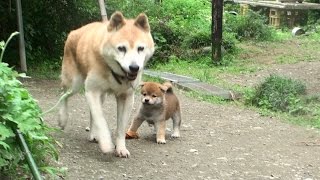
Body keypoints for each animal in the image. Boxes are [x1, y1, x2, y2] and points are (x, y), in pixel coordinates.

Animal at [58, 11, 154, 158]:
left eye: (140, 48)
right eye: (121, 48)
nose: (134, 67)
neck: (113, 71)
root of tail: (74, 31)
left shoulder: (126, 97)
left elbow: (120, 128)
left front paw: (121, 148)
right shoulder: (92, 91)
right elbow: (101, 120)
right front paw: (106, 143)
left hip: (100, 95)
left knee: (91, 112)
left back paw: (93, 134)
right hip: (74, 84)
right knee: (64, 95)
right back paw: (62, 118)